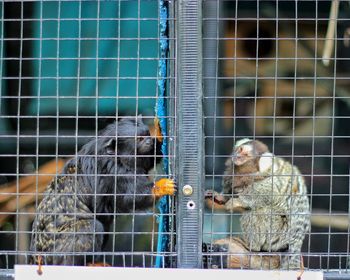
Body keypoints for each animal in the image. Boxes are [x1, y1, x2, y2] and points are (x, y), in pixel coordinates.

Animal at [29, 117, 174, 266]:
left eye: (147, 135)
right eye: (139, 139)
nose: (149, 141)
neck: (114, 155)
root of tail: (36, 256)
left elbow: (151, 158)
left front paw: (159, 133)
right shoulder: (112, 169)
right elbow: (133, 196)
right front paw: (162, 186)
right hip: (54, 252)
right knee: (91, 227)